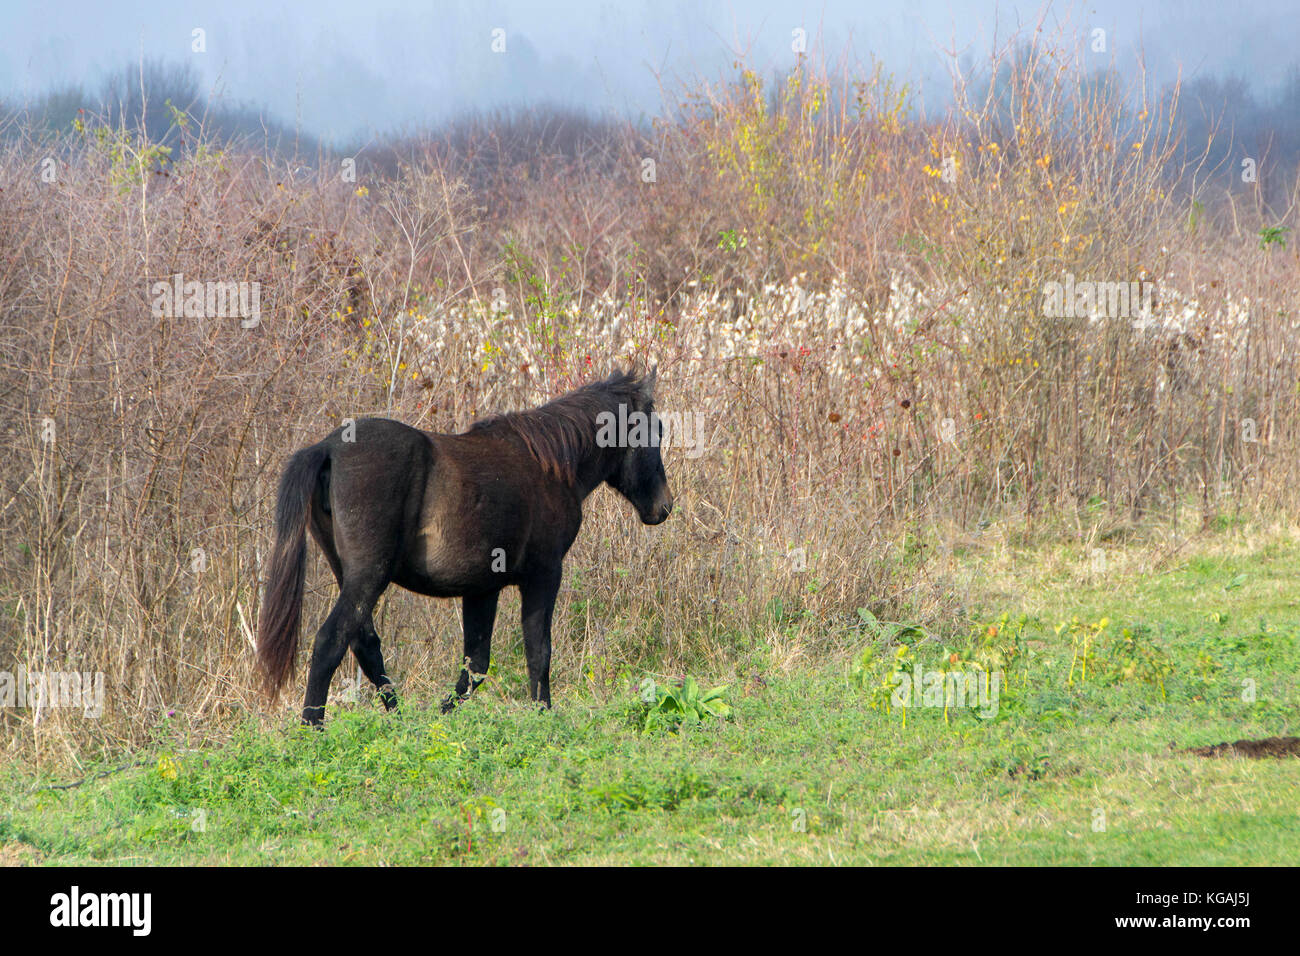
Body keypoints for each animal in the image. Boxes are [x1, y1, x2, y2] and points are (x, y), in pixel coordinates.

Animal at [256, 369, 673, 725]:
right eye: (654, 428)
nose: (663, 506)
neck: (550, 465)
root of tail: (328, 447)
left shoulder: (482, 589)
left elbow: (476, 665)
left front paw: (441, 718)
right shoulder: (543, 576)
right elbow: (538, 652)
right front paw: (543, 717)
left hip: (350, 574)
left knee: (365, 644)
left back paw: (400, 720)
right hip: (368, 576)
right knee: (331, 641)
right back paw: (313, 727)